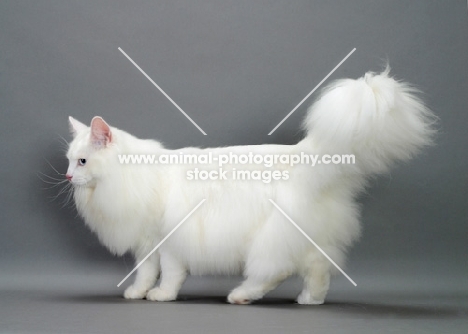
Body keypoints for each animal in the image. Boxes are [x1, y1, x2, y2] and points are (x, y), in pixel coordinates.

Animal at [65, 69, 436, 304]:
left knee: (275, 271)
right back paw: (310, 300)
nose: (67, 177)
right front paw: (138, 293)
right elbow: (145, 273)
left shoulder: (170, 241)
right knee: (318, 269)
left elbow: (168, 275)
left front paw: (162, 296)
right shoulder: (146, 245)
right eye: (68, 161)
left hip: (270, 240)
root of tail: (304, 154)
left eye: (82, 162)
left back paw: (242, 296)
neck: (132, 176)